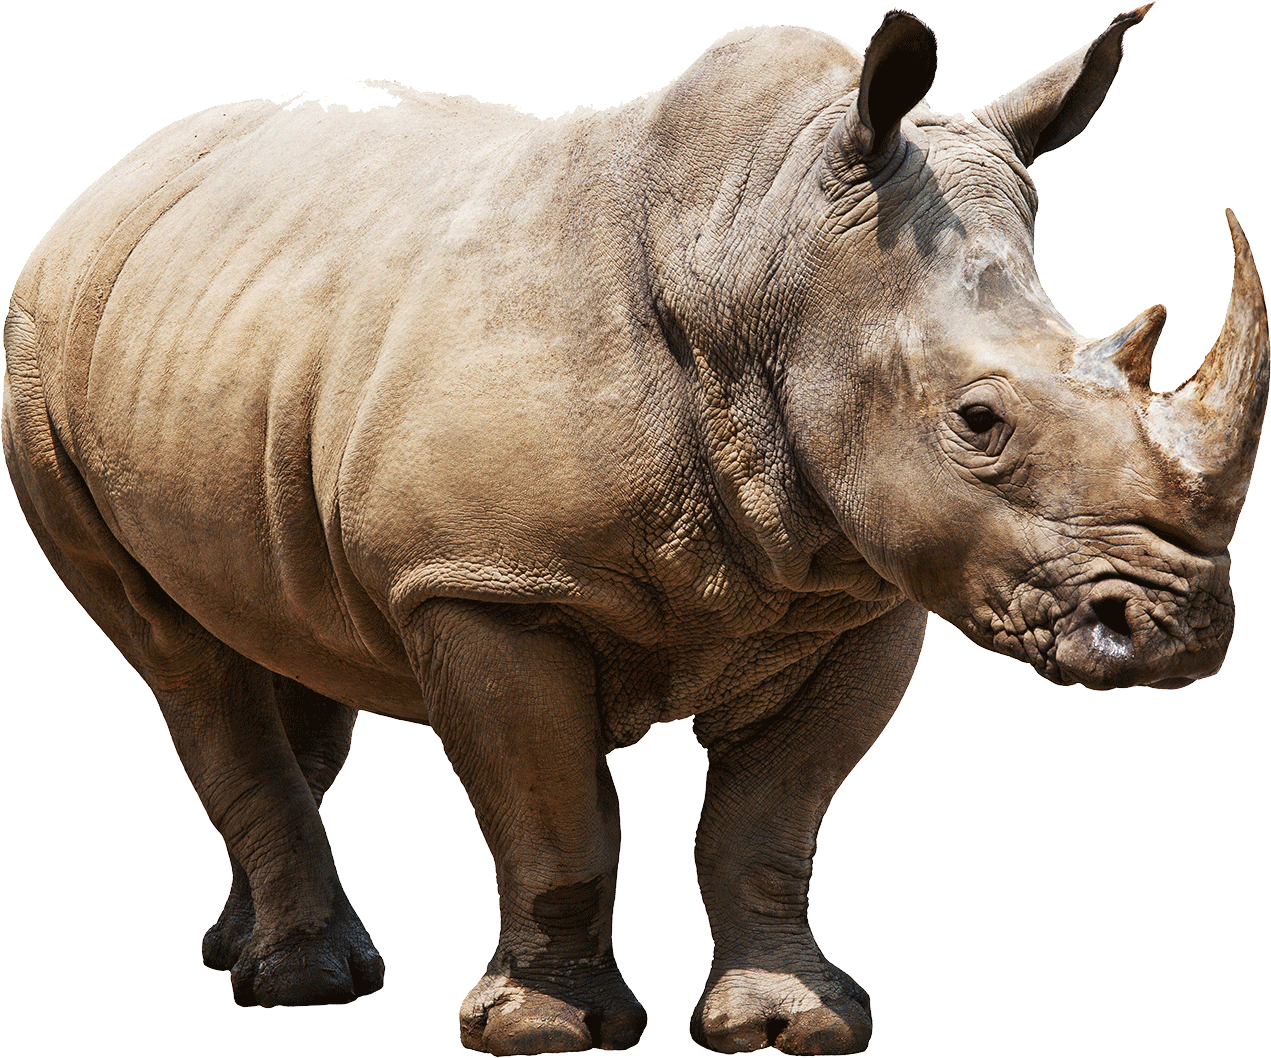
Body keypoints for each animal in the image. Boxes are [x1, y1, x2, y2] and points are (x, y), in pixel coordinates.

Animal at [2, 2, 1266, 1053]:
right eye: (977, 420)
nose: (1175, 629)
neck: (764, 254)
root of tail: (114, 178)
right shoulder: (481, 579)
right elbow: (554, 815)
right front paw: (542, 1029)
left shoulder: (866, 589)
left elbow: (769, 817)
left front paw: (792, 1022)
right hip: (37, 351)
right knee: (177, 653)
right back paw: (305, 981)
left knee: (282, 629)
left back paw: (242, 948)